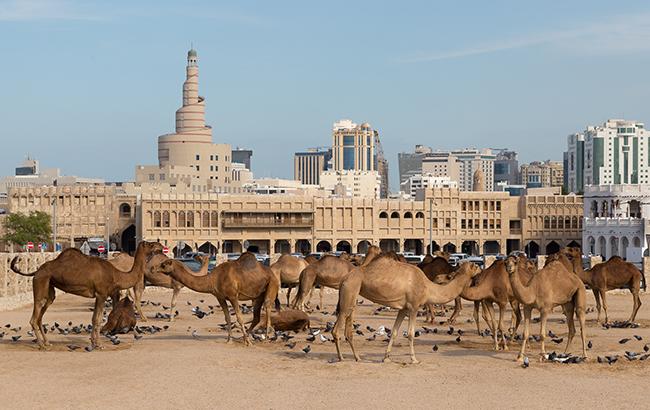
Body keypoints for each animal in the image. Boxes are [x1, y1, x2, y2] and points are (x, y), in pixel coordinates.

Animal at [10, 240, 163, 350]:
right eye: (150, 244)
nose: (161, 245)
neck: (116, 274)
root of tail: (36, 271)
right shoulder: (101, 294)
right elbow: (97, 319)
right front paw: (99, 344)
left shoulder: (99, 295)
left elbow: (94, 318)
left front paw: (94, 343)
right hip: (41, 282)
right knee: (34, 316)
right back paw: (42, 345)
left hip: (50, 287)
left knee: (41, 315)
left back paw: (47, 343)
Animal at [334, 258, 476, 364]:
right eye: (475, 266)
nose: (479, 268)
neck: (427, 287)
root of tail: (344, 278)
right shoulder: (414, 306)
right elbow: (411, 333)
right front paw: (414, 359)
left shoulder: (403, 309)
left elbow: (394, 332)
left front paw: (386, 358)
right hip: (350, 289)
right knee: (336, 329)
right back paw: (341, 358)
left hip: (352, 293)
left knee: (347, 329)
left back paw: (357, 357)